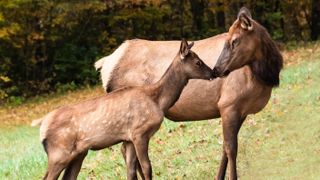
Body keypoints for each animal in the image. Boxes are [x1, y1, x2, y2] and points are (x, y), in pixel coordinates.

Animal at [33, 39, 215, 180]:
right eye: (198, 62)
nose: (213, 73)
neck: (157, 100)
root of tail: (41, 125)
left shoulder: (128, 138)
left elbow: (130, 170)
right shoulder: (139, 132)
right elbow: (147, 166)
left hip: (78, 153)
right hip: (59, 152)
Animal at [95, 7, 282, 180]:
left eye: (235, 40)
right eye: (229, 40)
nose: (217, 70)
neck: (264, 77)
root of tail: (105, 65)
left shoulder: (241, 111)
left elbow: (224, 147)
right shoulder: (229, 104)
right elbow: (231, 149)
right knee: (128, 152)